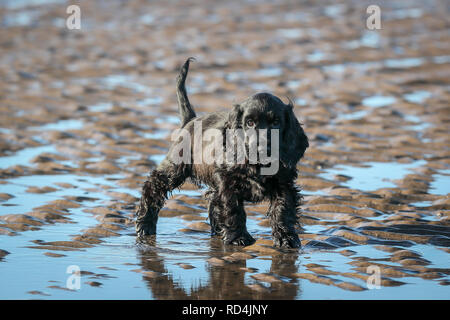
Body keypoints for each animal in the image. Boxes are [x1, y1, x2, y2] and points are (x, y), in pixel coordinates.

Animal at [135, 57, 308, 248]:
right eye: (249, 123)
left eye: (276, 122)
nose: (262, 148)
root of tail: (191, 120)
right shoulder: (227, 182)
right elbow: (232, 209)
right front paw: (238, 237)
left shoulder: (284, 184)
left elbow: (283, 210)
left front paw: (286, 238)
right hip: (175, 167)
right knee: (152, 187)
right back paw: (145, 226)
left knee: (212, 203)